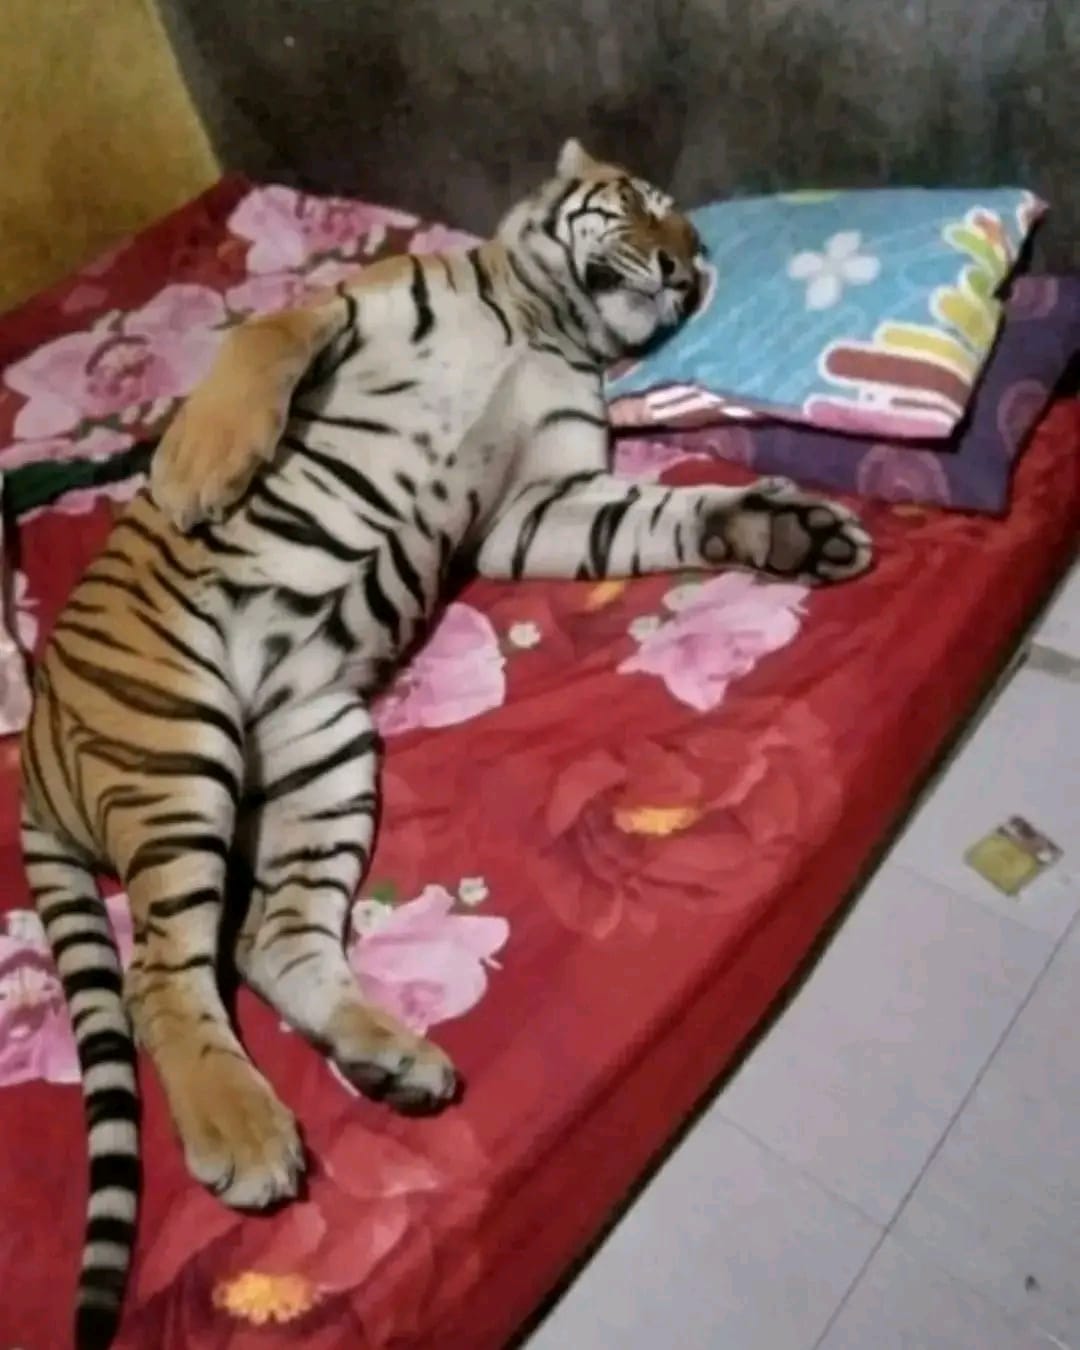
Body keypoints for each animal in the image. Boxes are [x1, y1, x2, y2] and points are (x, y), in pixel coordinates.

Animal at [21, 137, 872, 1349]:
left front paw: (781, 527)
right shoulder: (345, 311)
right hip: (178, 738)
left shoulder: (541, 500)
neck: (544, 322)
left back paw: (391, 1064)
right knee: (156, 972)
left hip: (326, 751)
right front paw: (194, 471)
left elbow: (655, 517)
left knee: (264, 943)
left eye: (699, 248)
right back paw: (247, 1135)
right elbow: (258, 343)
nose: (680, 271)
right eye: (643, 206)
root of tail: (33, 757)